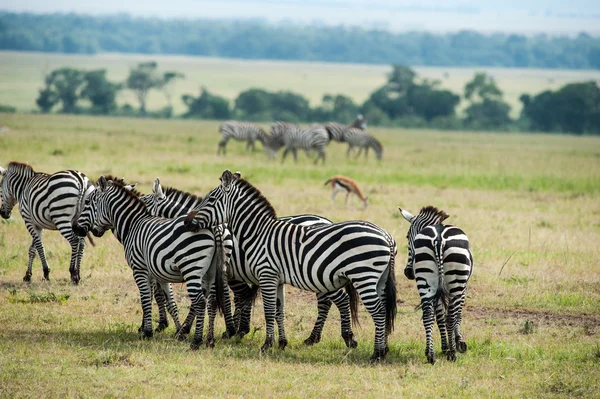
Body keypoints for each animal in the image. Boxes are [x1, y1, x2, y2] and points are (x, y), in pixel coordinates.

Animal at [72, 176, 227, 350]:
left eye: (87, 202)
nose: (75, 228)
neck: (133, 224)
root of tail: (214, 227)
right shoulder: (158, 273)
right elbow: (169, 301)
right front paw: (177, 331)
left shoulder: (139, 270)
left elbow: (146, 299)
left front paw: (147, 331)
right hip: (210, 272)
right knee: (211, 301)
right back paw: (209, 340)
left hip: (192, 268)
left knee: (199, 302)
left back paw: (197, 341)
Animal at [150, 178, 358, 350]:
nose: (186, 224)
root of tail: (327, 220)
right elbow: (238, 299)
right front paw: (238, 329)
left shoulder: (226, 273)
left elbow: (222, 299)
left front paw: (189, 330)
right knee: (326, 302)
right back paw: (313, 337)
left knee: (337, 300)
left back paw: (337, 337)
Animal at [185, 170, 396, 362]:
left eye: (211, 199)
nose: (187, 222)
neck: (258, 233)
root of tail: (386, 236)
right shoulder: (277, 280)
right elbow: (279, 310)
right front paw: (281, 343)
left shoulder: (267, 275)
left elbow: (269, 310)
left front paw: (266, 345)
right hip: (379, 279)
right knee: (383, 310)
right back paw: (383, 350)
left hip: (363, 276)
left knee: (377, 311)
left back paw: (376, 354)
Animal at [398, 206, 474, 366]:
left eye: (407, 237)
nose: (408, 272)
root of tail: (438, 239)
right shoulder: (463, 288)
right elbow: (457, 314)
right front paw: (458, 342)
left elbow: (439, 317)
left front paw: (442, 347)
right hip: (456, 282)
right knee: (450, 317)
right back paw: (452, 354)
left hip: (425, 279)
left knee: (428, 315)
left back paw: (431, 355)